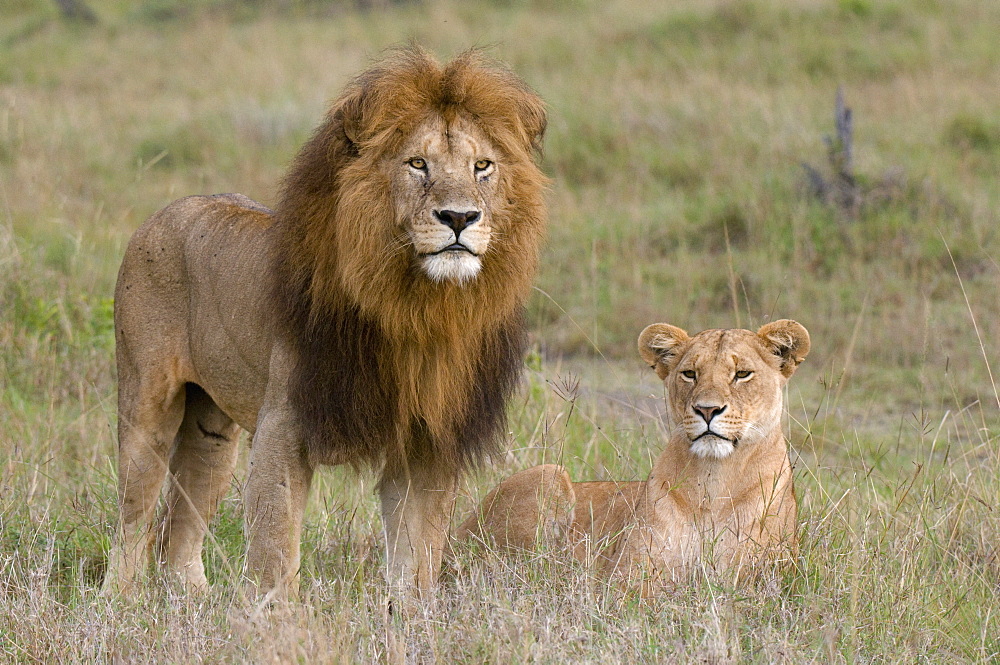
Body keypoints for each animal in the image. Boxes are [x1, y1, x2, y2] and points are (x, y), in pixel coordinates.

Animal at [103, 46, 548, 596]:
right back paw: (116, 603)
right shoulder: (283, 427)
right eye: (417, 163)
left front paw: (411, 613)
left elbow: (418, 557)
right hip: (146, 407)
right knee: (134, 519)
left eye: (482, 166)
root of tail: (164, 211)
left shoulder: (426, 444)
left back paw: (192, 600)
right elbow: (275, 551)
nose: (460, 218)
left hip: (212, 431)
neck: (417, 305)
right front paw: (277, 618)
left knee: (180, 530)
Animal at [458, 320, 808, 588]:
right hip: (548, 474)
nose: (707, 410)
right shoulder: (627, 576)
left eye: (742, 374)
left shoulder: (759, 581)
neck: (714, 478)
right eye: (690, 373)